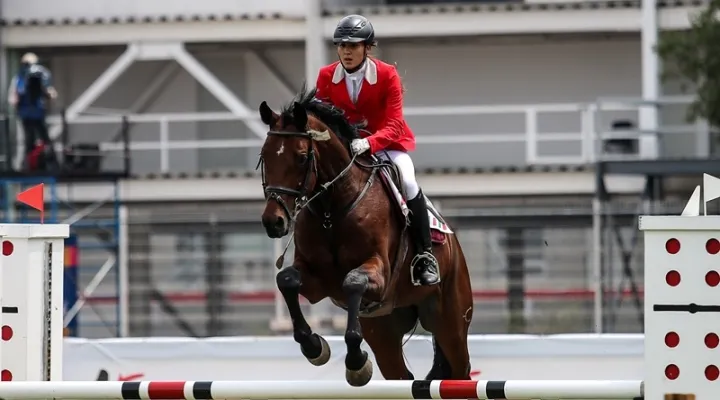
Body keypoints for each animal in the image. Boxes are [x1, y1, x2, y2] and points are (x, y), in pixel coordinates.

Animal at [256, 86, 476, 386]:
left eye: (301, 157)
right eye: (264, 156)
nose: (273, 221)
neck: (331, 212)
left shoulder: (379, 274)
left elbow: (353, 282)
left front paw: (356, 362)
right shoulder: (318, 283)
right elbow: (287, 279)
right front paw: (314, 347)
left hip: (451, 323)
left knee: (460, 369)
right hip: (383, 330)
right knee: (400, 375)